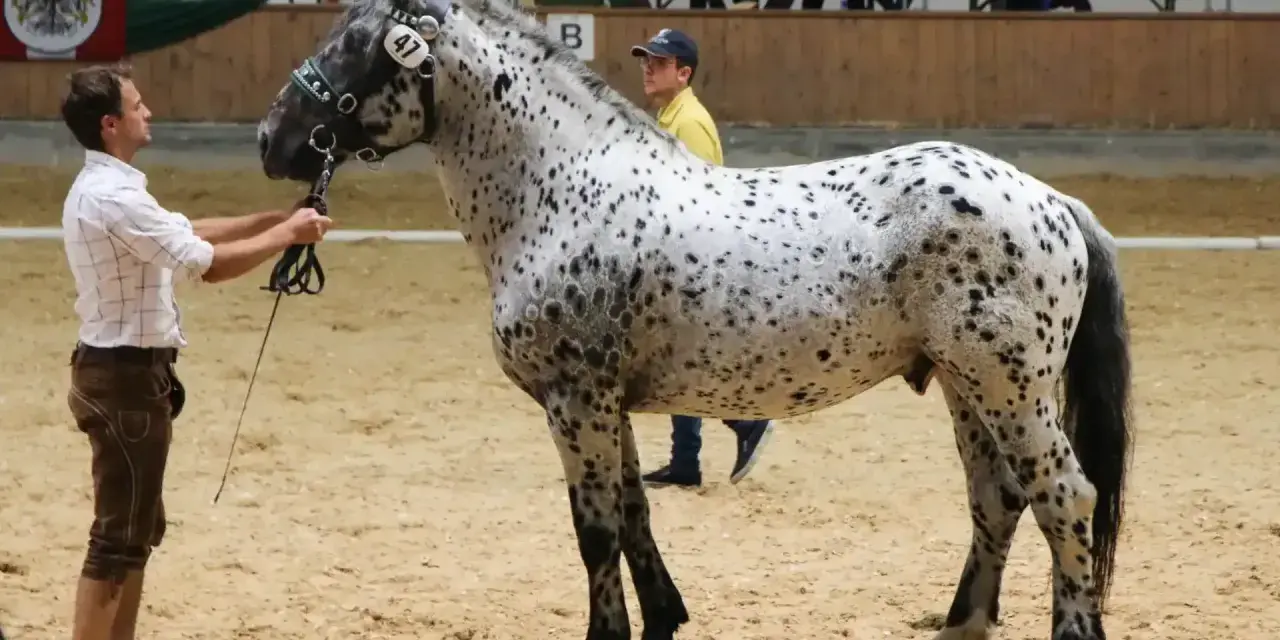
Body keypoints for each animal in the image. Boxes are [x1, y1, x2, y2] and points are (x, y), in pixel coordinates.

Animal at [255, 1, 1134, 638]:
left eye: (357, 47)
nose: (272, 139)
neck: (562, 189)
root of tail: (1052, 201)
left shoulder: (574, 400)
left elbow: (596, 528)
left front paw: (609, 632)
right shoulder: (609, 402)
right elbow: (635, 512)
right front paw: (663, 617)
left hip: (1011, 388)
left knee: (1066, 497)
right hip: (964, 384)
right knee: (998, 497)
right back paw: (961, 625)